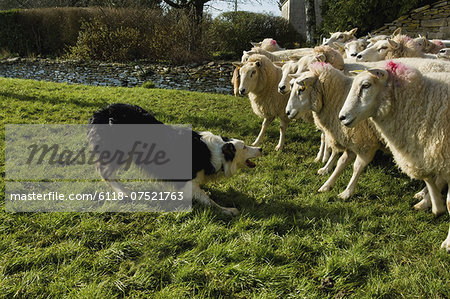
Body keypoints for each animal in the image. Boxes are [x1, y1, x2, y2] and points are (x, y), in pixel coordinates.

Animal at [86, 103, 262, 216]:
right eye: (244, 147)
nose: (260, 149)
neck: (216, 153)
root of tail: (101, 112)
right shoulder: (187, 181)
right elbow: (207, 199)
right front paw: (226, 210)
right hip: (118, 151)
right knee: (105, 172)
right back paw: (123, 192)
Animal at [286, 63, 382, 199]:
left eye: (302, 89)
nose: (287, 112)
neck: (338, 97)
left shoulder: (365, 143)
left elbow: (357, 167)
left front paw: (347, 192)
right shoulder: (348, 137)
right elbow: (340, 161)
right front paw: (327, 178)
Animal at [338, 62, 450, 252]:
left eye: (366, 85)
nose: (342, 117)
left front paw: (448, 242)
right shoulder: (424, 151)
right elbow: (428, 177)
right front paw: (436, 206)